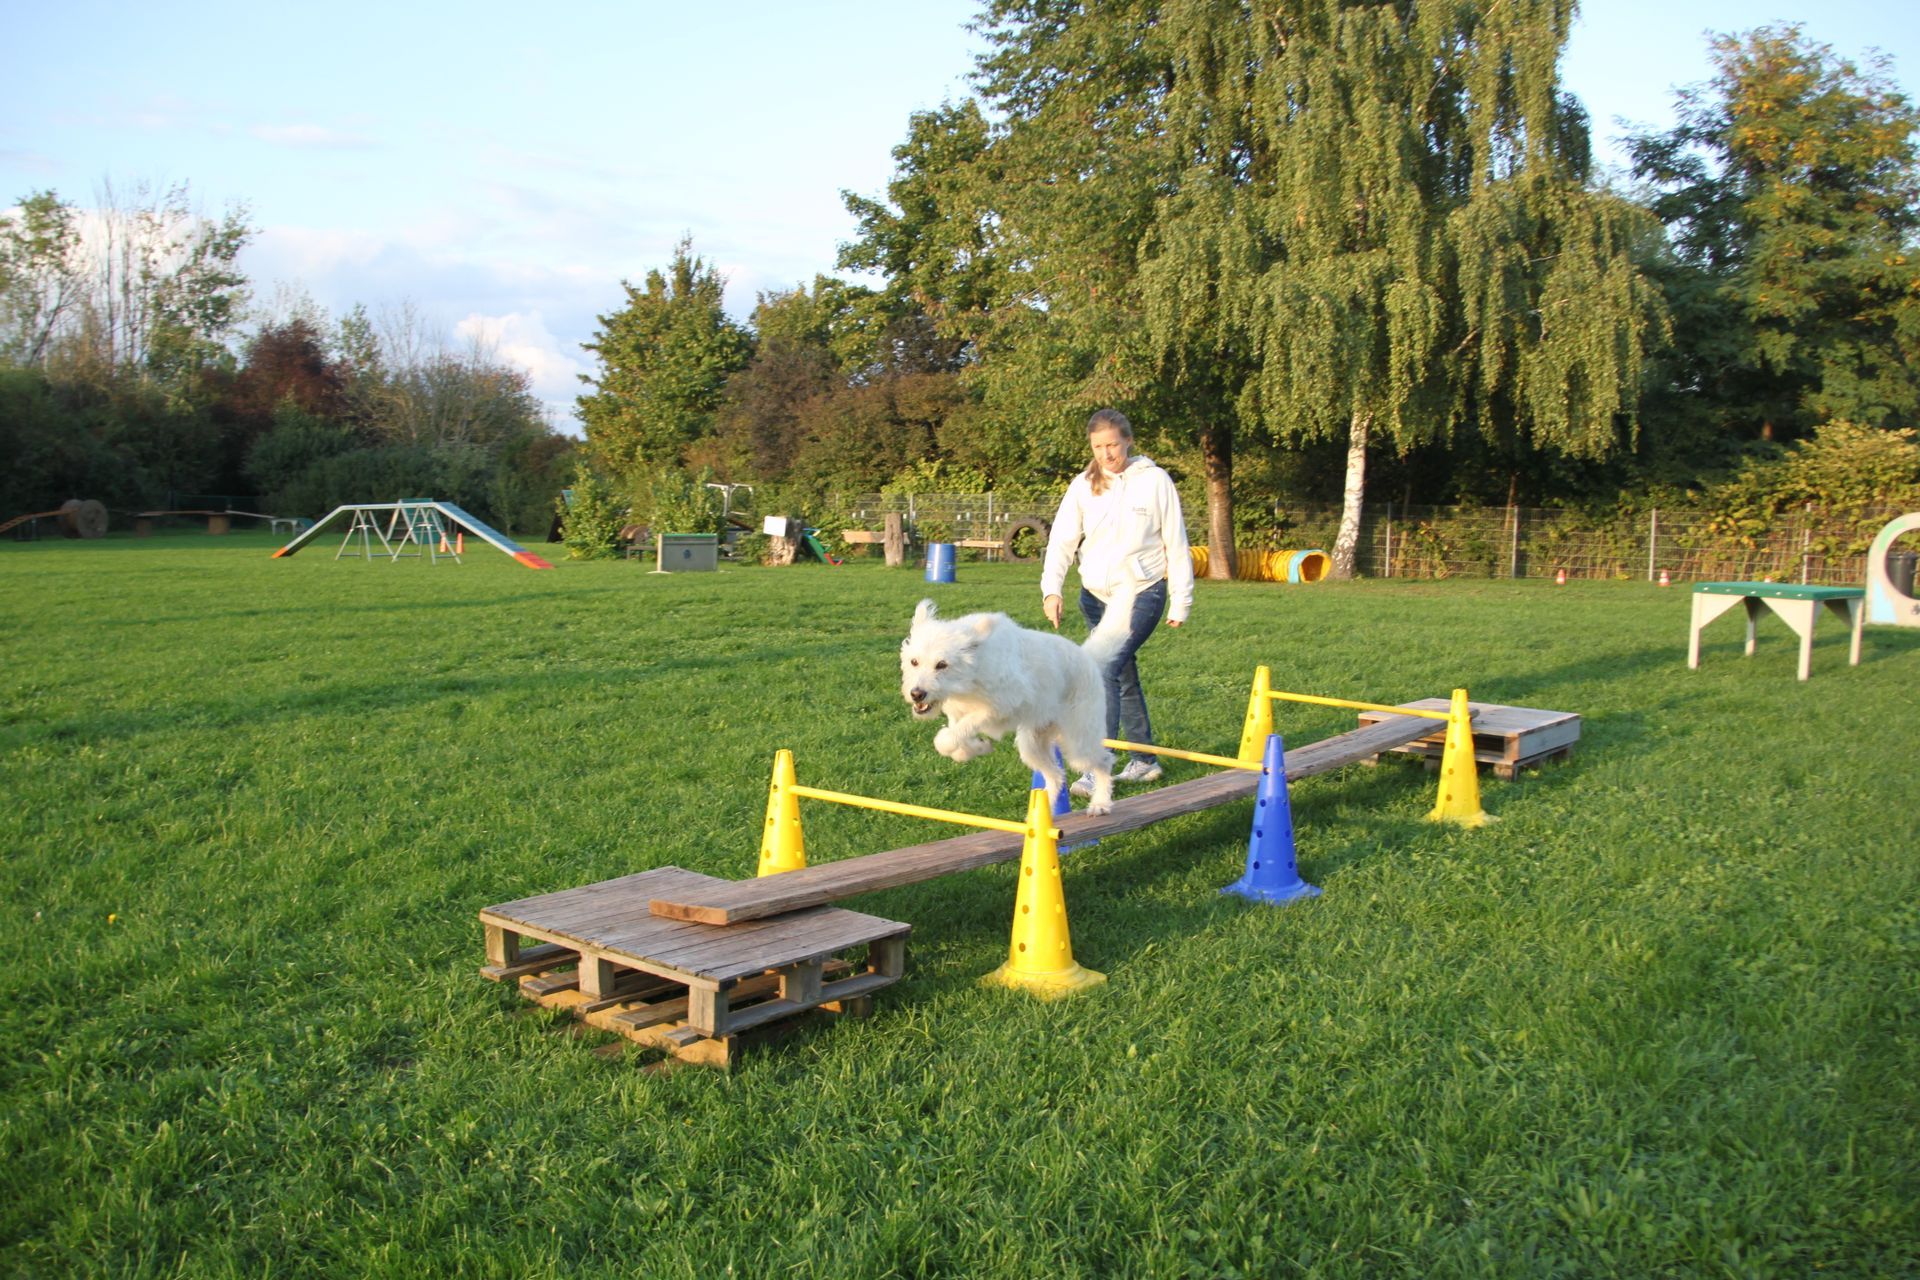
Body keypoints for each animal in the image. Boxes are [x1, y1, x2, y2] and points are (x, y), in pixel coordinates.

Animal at [900, 591, 1135, 814]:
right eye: (914, 662)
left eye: (942, 664)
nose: (917, 694)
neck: (970, 677)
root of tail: (1089, 658)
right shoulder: (956, 713)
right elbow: (957, 738)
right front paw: (977, 747)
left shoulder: (1001, 706)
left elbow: (950, 738)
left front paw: (968, 745)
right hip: (1032, 744)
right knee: (1056, 774)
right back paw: (1038, 815)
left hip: (1079, 741)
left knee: (1103, 761)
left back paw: (1100, 803)